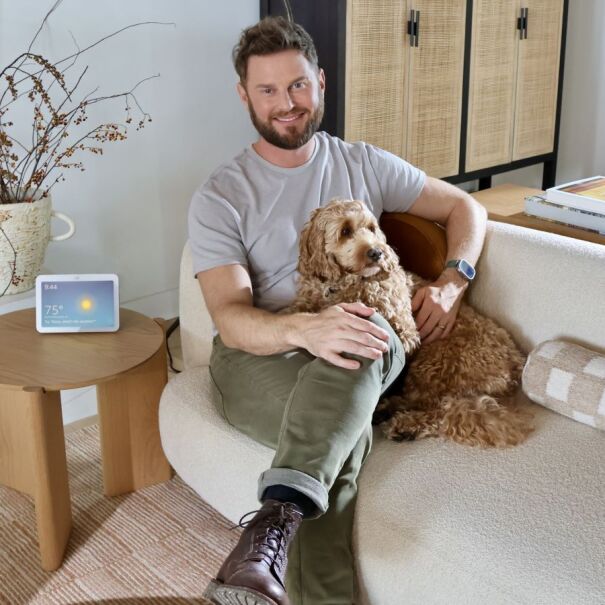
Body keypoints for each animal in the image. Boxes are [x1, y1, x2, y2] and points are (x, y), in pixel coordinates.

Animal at [292, 199, 532, 448]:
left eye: (371, 228)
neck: (342, 284)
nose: (377, 252)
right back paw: (387, 409)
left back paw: (406, 425)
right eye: (345, 231)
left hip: (435, 361)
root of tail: (516, 365)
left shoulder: (403, 329)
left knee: (441, 408)